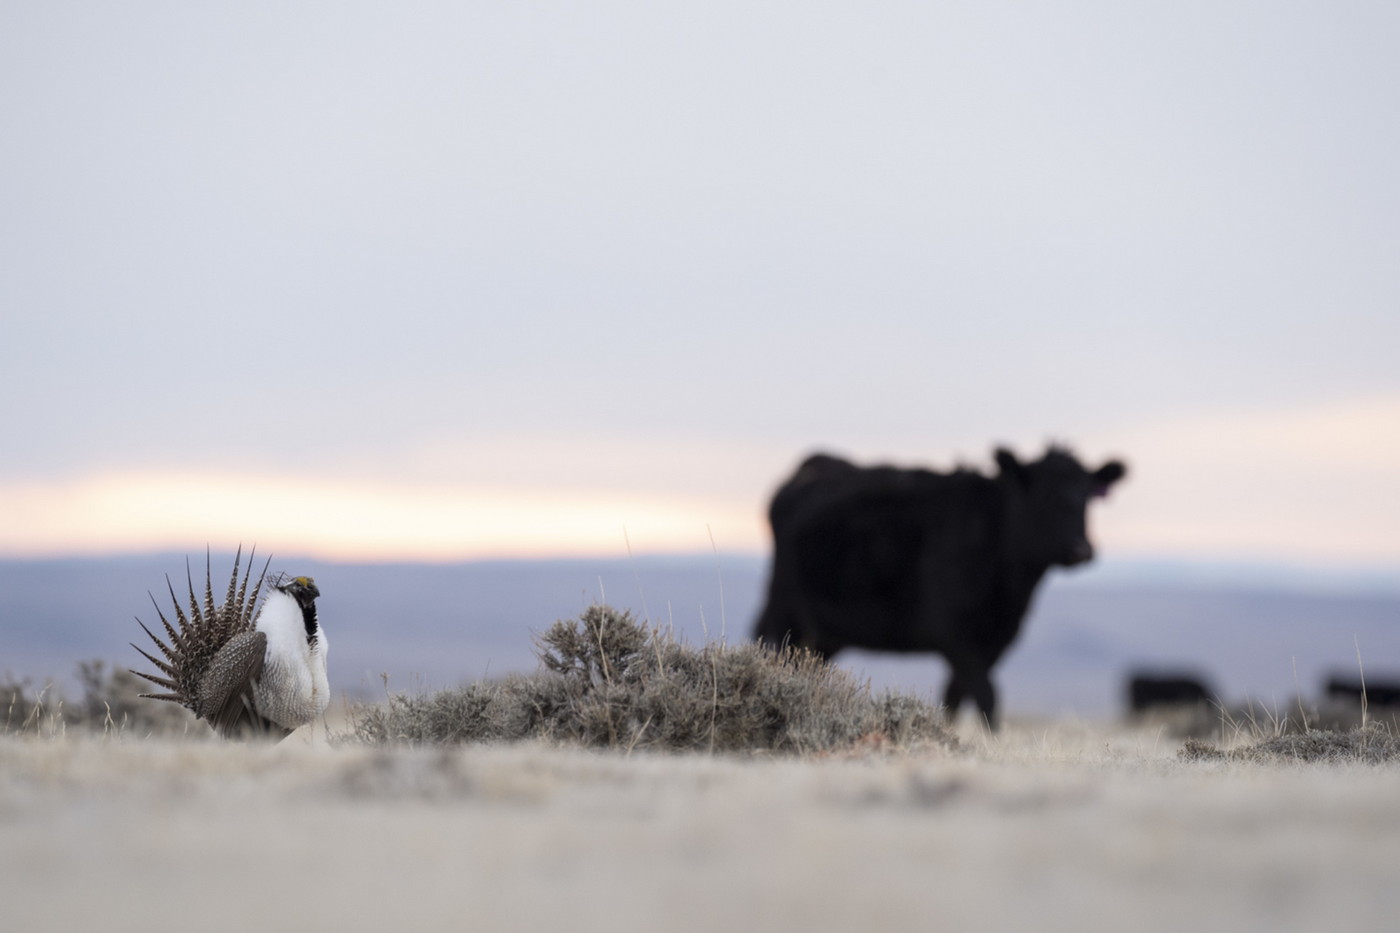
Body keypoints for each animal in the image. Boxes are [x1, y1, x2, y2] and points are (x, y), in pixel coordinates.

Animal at [753, 445, 1126, 729]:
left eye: (1087, 495)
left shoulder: (992, 643)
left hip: (824, 635)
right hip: (784, 611)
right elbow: (987, 697)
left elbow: (955, 698)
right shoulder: (958, 638)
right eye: (1041, 494)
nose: (1080, 549)